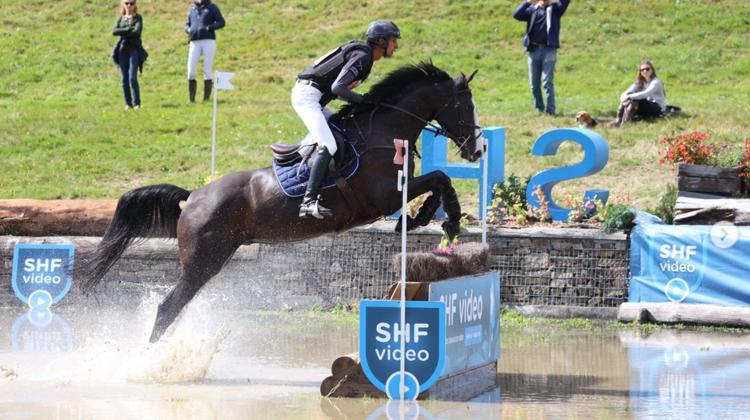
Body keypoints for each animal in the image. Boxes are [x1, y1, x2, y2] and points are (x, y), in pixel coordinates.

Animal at [78, 62, 488, 344]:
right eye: (467, 106)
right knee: (168, 308)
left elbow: (438, 181)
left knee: (178, 307)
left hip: (215, 258)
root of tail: (192, 196)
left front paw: (424, 219)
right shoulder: (382, 197)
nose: (479, 149)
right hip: (202, 262)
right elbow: (440, 178)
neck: (384, 131)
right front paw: (446, 220)